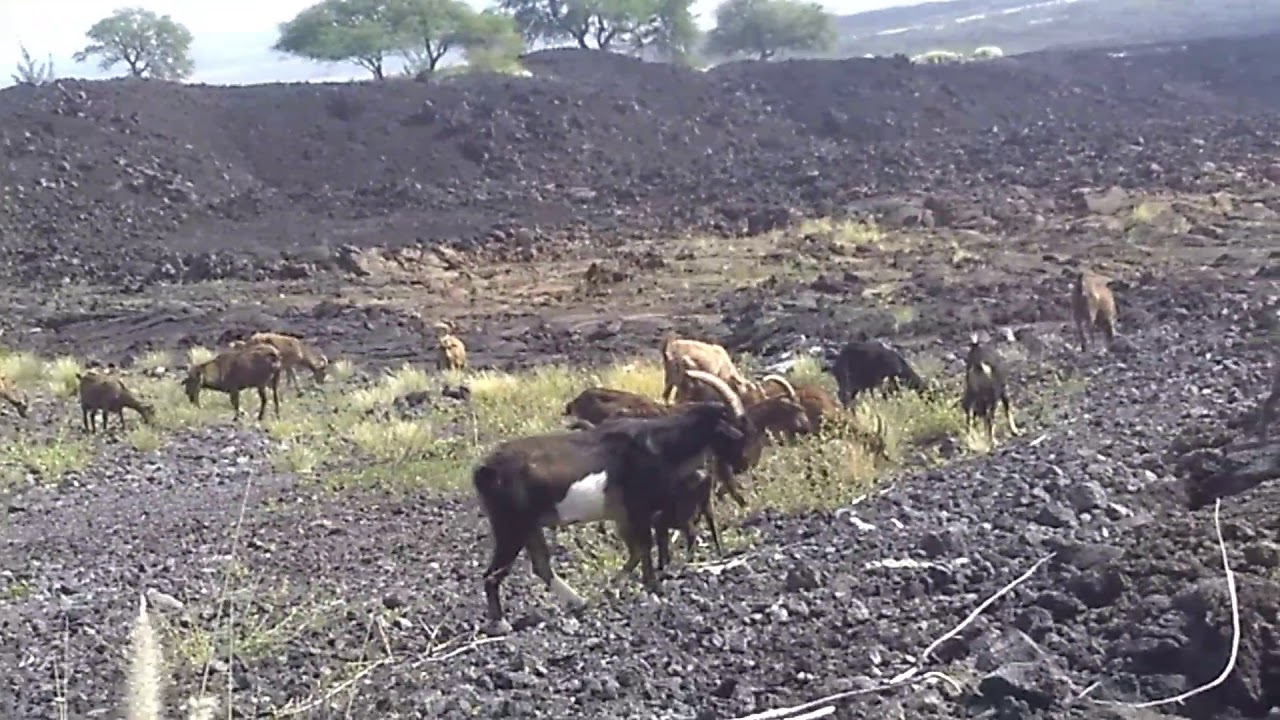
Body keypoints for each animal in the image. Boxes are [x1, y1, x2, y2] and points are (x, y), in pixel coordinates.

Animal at [471, 375, 749, 632]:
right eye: (732, 425)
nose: (742, 462)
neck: (659, 444)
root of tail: (484, 469)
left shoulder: (624, 515)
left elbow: (636, 550)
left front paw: (615, 588)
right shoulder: (637, 508)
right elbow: (644, 546)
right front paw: (653, 588)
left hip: (529, 525)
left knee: (540, 564)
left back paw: (578, 602)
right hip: (510, 524)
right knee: (494, 572)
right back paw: (500, 622)